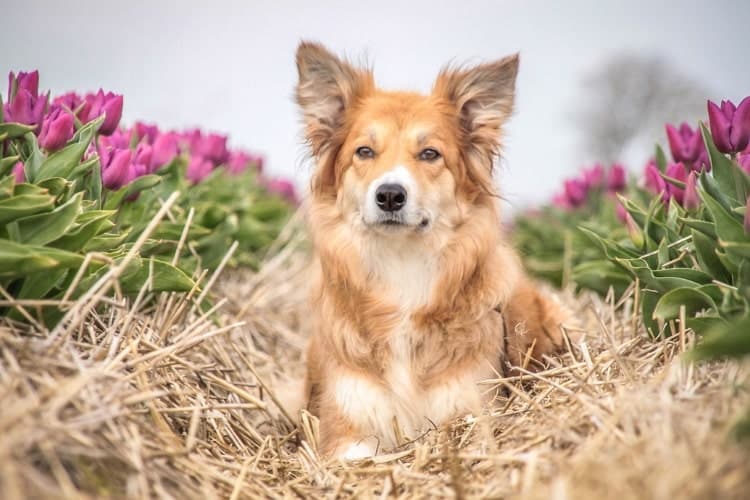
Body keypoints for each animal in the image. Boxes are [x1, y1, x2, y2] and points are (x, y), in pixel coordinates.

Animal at [294, 41, 568, 458]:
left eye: (429, 154)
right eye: (364, 152)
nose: (390, 195)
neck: (402, 266)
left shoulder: (471, 416)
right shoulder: (346, 433)